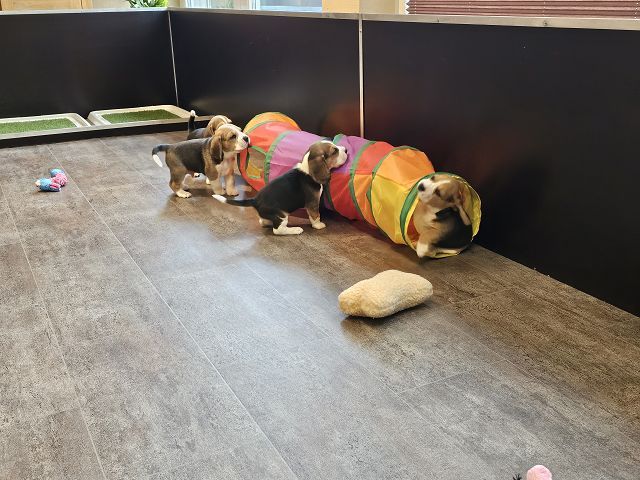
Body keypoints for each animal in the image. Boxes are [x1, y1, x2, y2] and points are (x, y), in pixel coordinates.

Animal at [213, 140, 347, 235]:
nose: (346, 149)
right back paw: (295, 230)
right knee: (277, 230)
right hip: (281, 215)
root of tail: (255, 200)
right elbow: (315, 216)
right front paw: (319, 225)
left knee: (263, 221)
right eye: (334, 151)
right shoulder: (312, 203)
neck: (308, 169)